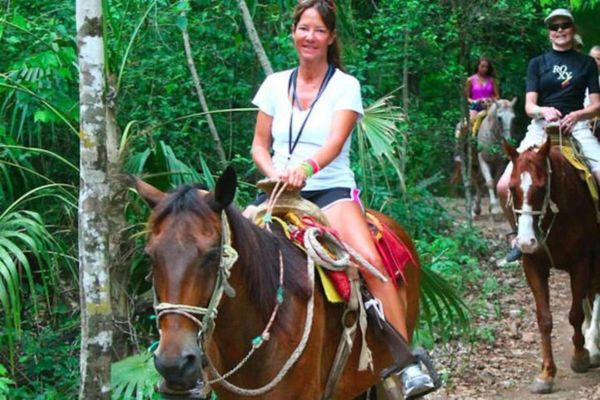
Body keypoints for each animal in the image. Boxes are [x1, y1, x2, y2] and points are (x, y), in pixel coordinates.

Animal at [504, 141, 600, 394]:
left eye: (540, 188)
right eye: (511, 188)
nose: (526, 242)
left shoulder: (580, 262)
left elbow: (575, 314)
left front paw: (580, 356)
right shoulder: (533, 265)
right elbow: (544, 320)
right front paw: (546, 374)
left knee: (594, 294)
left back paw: (593, 345)